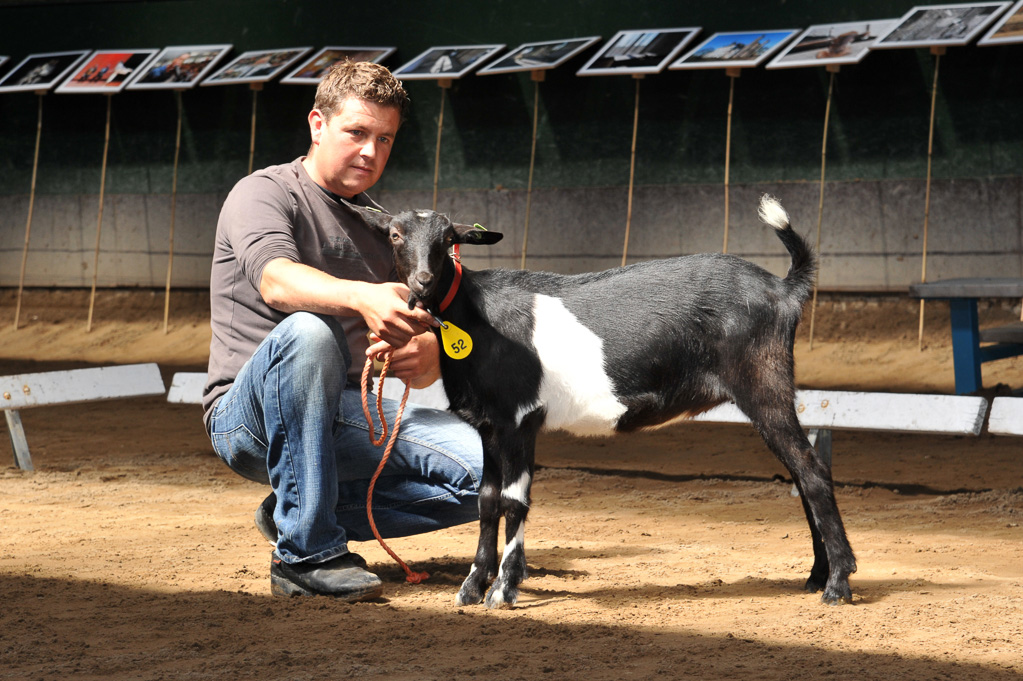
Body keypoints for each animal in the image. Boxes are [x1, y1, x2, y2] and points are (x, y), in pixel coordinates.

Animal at [351, 195, 855, 605]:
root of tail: (784, 290)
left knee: (811, 471)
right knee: (801, 472)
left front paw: (503, 589)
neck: (474, 319)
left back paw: (837, 584)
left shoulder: (519, 422)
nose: (423, 280)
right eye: (395, 234)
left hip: (763, 383)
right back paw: (816, 575)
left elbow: (514, 501)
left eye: (448, 238)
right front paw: (472, 586)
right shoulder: (490, 428)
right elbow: (487, 501)